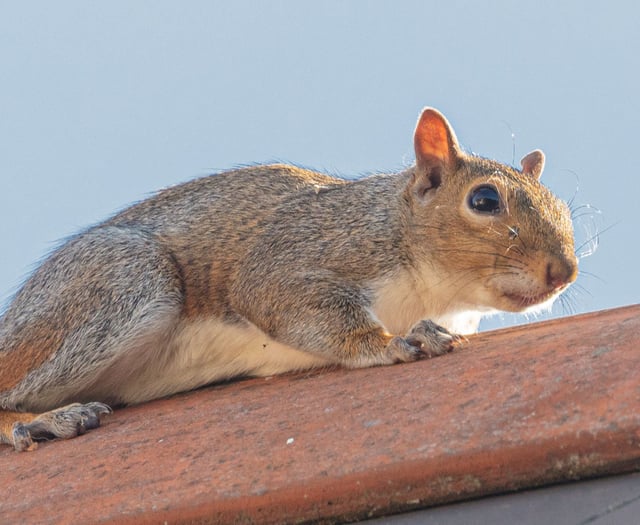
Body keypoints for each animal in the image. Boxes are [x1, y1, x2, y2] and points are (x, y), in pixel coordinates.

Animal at [0, 107, 580, 450]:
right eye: (483, 200)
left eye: (562, 206)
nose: (564, 271)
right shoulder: (297, 256)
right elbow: (286, 301)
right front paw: (392, 342)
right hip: (124, 280)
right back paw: (45, 419)